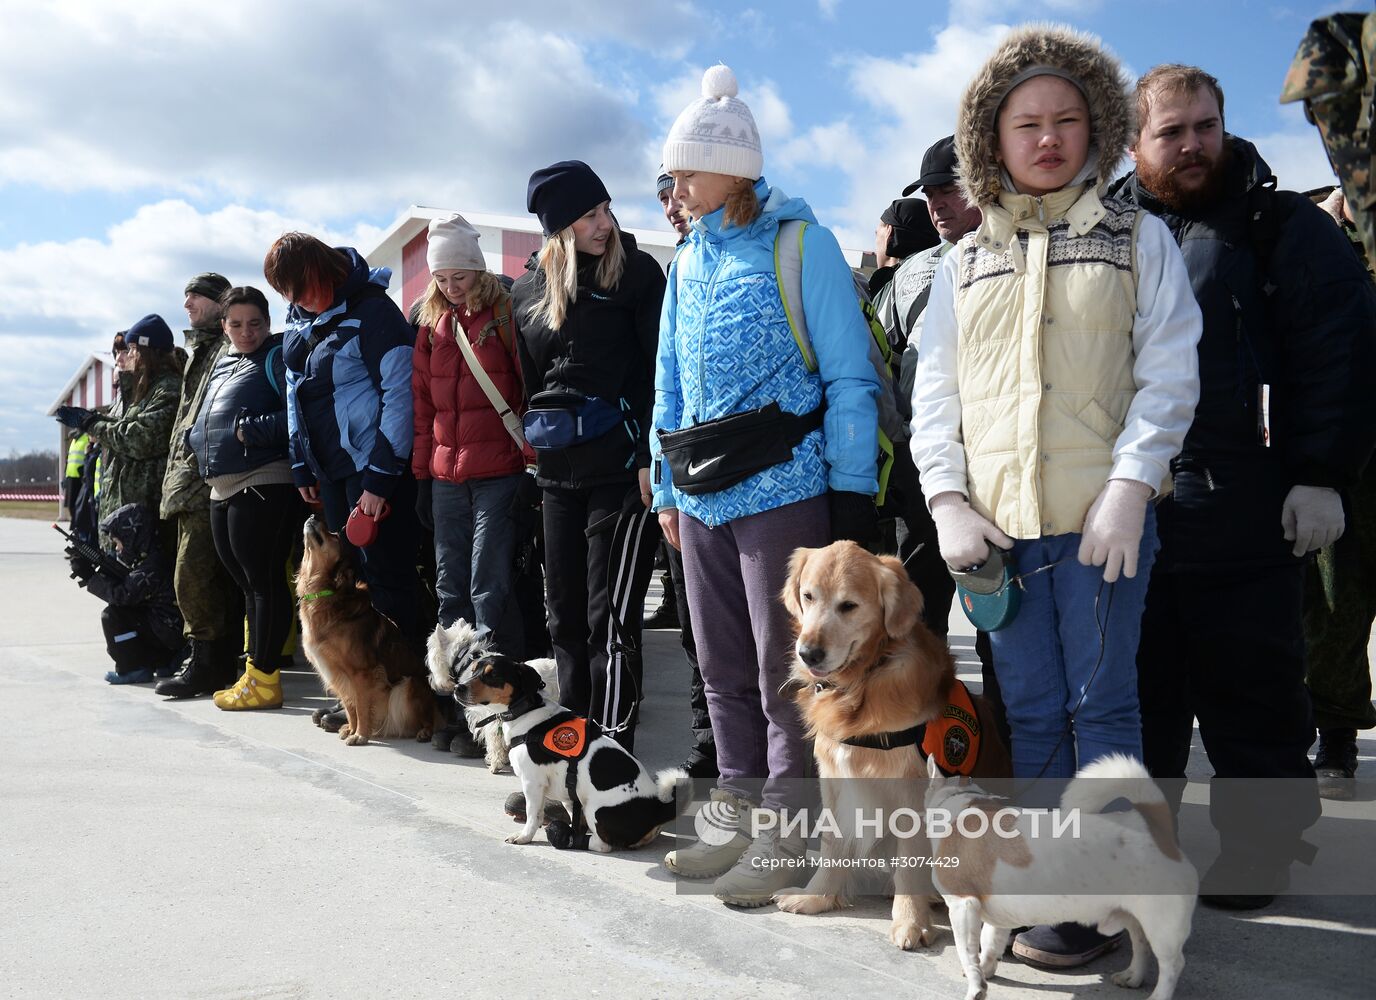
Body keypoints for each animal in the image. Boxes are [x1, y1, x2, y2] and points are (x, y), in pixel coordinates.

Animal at [298, 517, 443, 742]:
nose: (314, 516)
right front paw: (351, 728)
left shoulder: (362, 672)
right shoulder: (338, 675)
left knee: (429, 719)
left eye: (334, 536)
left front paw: (360, 735)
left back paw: (425, 732)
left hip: (408, 685)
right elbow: (350, 706)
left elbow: (361, 705)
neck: (325, 593)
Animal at [454, 657, 685, 852]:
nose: (458, 687)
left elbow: (533, 815)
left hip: (595, 808)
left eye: (492, 675)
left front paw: (525, 836)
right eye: (473, 670)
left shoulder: (532, 783)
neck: (526, 711)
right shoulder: (565, 790)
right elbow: (563, 813)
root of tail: (657, 809)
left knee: (604, 845)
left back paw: (573, 840)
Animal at [776, 544, 1012, 951]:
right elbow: (832, 843)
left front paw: (910, 922)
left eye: (849, 605)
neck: (863, 682)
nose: (809, 653)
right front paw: (817, 897)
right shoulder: (834, 780)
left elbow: (909, 863)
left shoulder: (912, 793)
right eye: (808, 596)